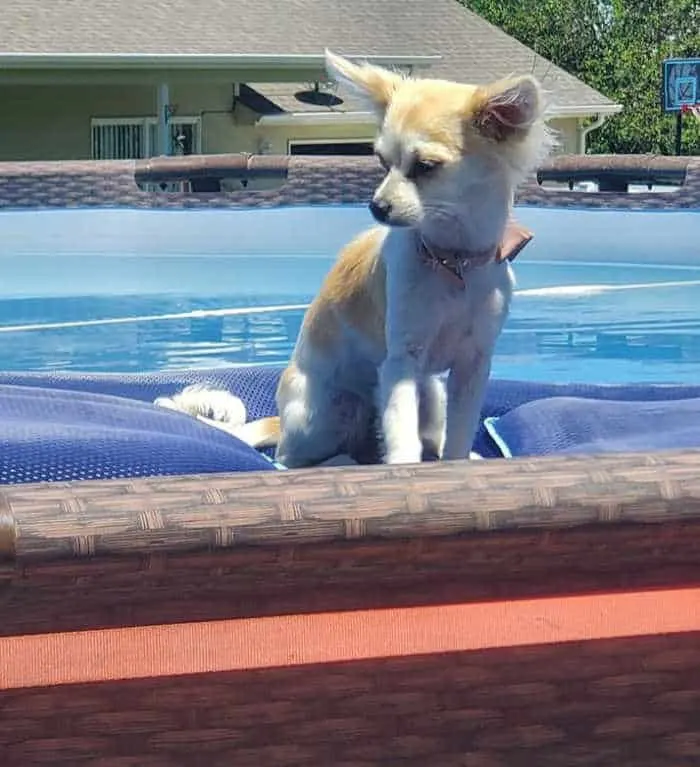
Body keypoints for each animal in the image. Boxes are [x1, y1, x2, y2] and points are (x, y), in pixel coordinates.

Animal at [161, 51, 556, 468]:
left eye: (426, 167)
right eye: (383, 162)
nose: (377, 206)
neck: (453, 259)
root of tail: (280, 421)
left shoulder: (473, 365)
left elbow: (459, 435)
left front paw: (459, 462)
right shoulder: (400, 362)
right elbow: (402, 435)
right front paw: (402, 466)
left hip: (431, 390)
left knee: (428, 435)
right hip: (328, 411)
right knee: (291, 458)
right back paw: (339, 461)